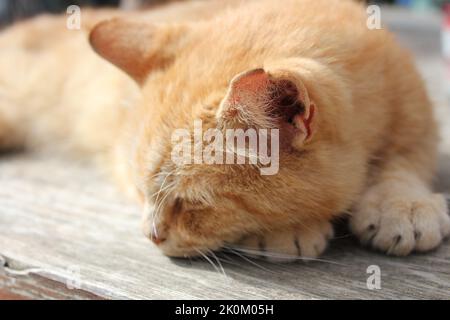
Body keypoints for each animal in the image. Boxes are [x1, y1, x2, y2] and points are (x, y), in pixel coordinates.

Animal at [0, 0, 448, 262]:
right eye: (141, 191)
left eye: (194, 203)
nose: (150, 237)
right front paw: (288, 230)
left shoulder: (417, 113)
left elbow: (406, 158)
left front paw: (402, 203)